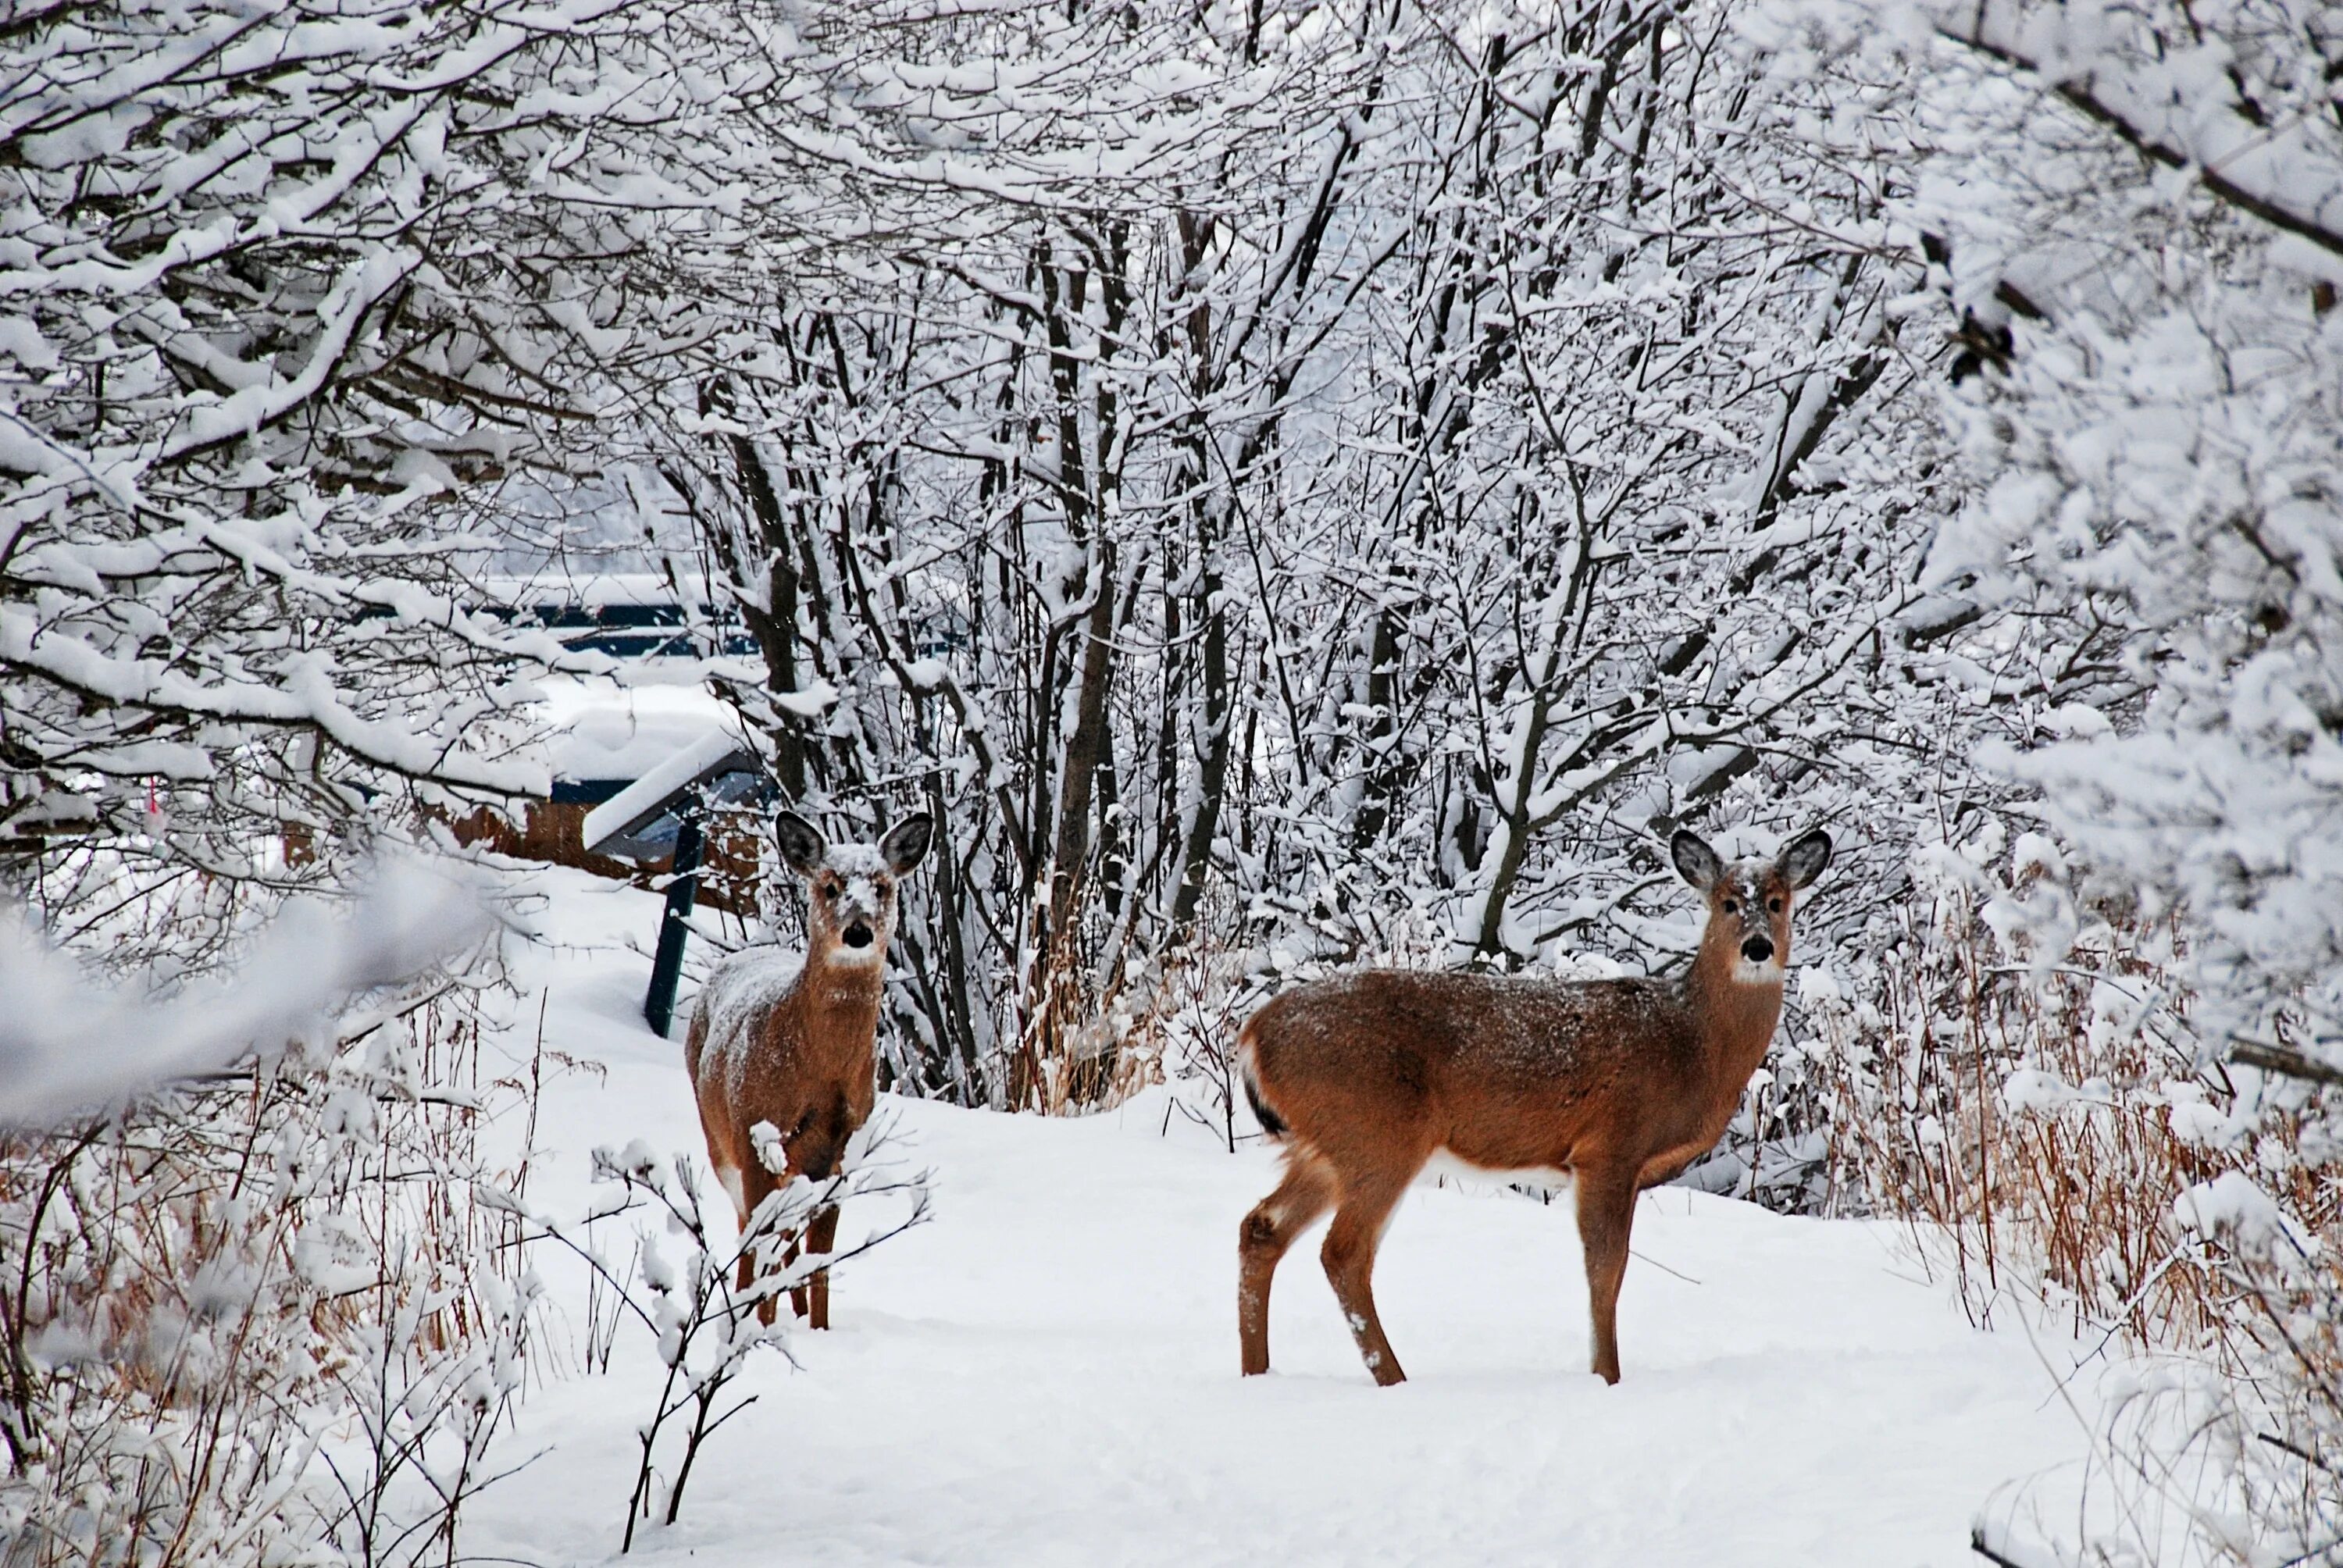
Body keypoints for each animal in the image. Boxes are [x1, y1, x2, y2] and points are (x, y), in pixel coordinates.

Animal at [684, 806, 928, 1321]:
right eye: (830, 886)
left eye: (882, 886)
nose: (858, 932)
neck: (820, 1072)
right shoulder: (755, 1135)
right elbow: (763, 1247)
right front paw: (756, 1327)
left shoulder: (842, 1153)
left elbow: (818, 1261)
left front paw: (818, 1328)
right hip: (721, 1142)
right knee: (752, 1234)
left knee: (785, 1242)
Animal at [1237, 825, 1837, 1377]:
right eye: (1728, 902)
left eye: (1778, 902)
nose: (1757, 947)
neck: (1692, 1045)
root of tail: (1254, 1035)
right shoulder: (1609, 1147)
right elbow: (1605, 1272)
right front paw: (1607, 1376)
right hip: (1378, 1134)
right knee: (1343, 1252)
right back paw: (1394, 1379)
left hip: (1327, 1145)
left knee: (1261, 1229)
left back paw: (1257, 1372)